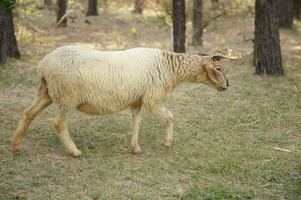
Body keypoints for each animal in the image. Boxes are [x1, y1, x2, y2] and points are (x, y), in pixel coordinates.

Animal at [11, 45, 232, 156]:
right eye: (218, 69)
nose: (227, 86)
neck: (170, 68)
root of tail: (43, 65)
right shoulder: (152, 99)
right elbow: (171, 117)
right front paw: (168, 143)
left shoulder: (138, 101)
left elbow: (136, 123)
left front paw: (134, 148)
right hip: (68, 97)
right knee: (58, 123)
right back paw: (74, 151)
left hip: (46, 92)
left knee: (28, 113)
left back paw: (16, 145)